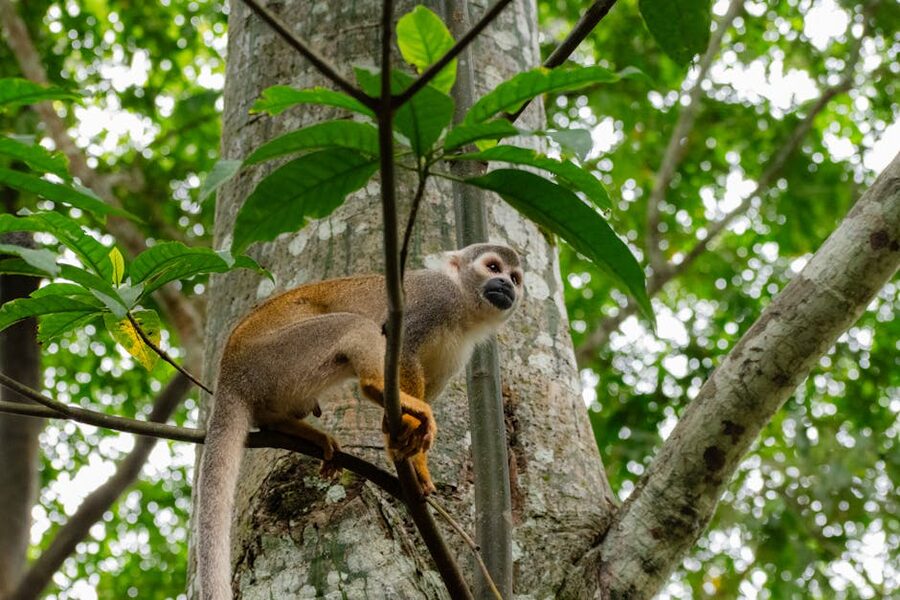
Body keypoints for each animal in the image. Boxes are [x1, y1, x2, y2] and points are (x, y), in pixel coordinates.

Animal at [197, 242, 523, 599]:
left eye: (515, 278)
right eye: (493, 267)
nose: (506, 285)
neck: (464, 306)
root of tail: (228, 371)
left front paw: (405, 446)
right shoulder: (436, 299)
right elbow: (401, 346)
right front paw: (412, 449)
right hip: (274, 356)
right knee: (352, 324)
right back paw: (374, 386)